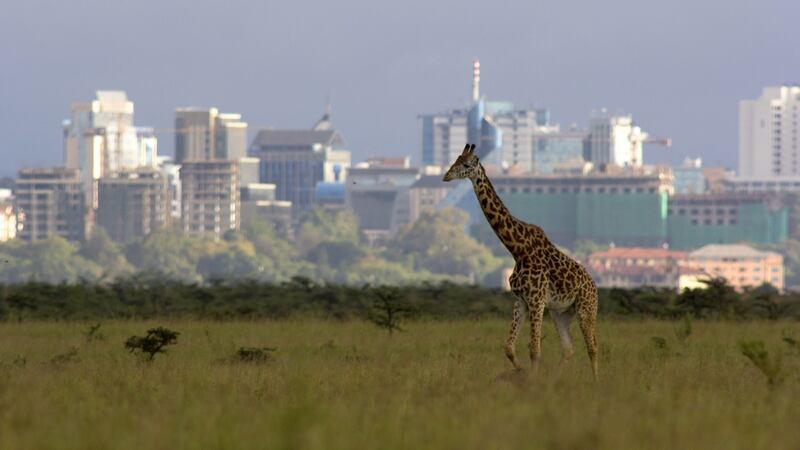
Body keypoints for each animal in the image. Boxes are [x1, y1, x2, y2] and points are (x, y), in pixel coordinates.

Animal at [443, 143, 599, 377]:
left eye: (467, 164)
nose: (446, 176)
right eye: (456, 160)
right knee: (568, 348)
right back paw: (555, 379)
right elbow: (509, 347)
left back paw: (597, 381)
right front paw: (522, 371)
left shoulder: (536, 300)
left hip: (585, 309)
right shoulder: (521, 301)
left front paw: (531, 379)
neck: (518, 249)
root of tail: (595, 287)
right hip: (560, 313)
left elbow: (534, 349)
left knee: (592, 347)